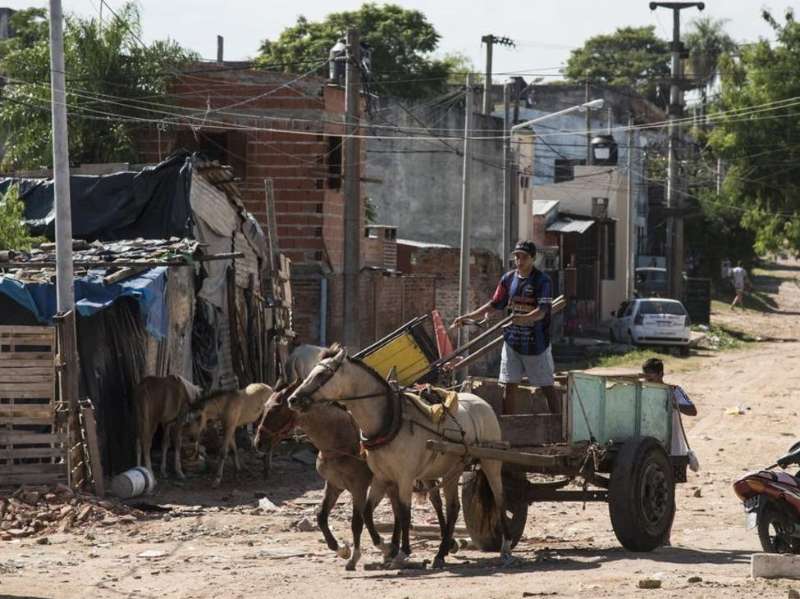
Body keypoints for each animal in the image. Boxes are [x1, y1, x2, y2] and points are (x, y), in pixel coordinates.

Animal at [288, 344, 512, 568]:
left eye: (323, 374)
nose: (293, 399)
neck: (390, 422)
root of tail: (482, 402)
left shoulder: (403, 477)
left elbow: (403, 512)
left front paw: (401, 552)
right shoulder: (381, 478)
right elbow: (367, 513)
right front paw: (387, 548)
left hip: (491, 461)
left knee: (499, 498)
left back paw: (505, 547)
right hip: (451, 470)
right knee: (452, 507)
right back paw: (441, 553)